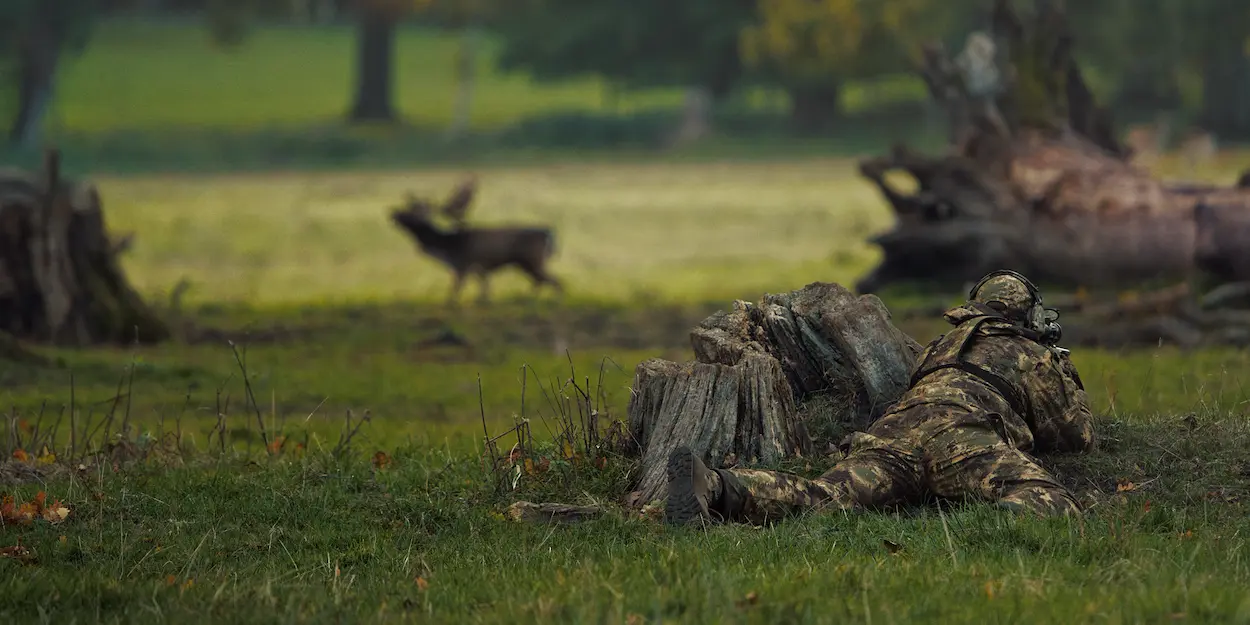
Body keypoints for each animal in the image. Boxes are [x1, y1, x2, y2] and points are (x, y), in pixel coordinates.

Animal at [390, 185, 562, 306]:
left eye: (411, 213)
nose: (393, 213)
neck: (445, 246)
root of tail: (550, 234)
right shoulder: (478, 267)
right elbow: (483, 288)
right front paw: (484, 301)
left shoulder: (463, 264)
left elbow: (455, 289)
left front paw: (452, 304)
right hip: (526, 263)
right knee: (543, 281)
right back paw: (529, 299)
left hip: (532, 259)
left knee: (553, 281)